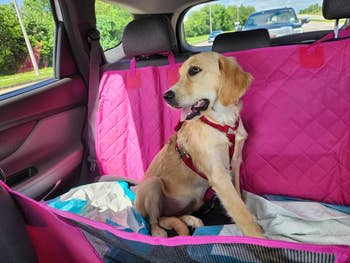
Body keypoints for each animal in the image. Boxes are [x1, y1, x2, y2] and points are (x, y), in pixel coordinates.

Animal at [135, 51, 264, 239]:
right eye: (180, 74)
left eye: (194, 70)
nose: (165, 96)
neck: (223, 124)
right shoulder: (218, 175)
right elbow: (240, 212)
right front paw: (260, 239)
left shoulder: (235, 164)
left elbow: (239, 198)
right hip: (152, 184)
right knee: (154, 219)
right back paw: (158, 232)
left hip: (195, 201)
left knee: (168, 215)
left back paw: (191, 220)